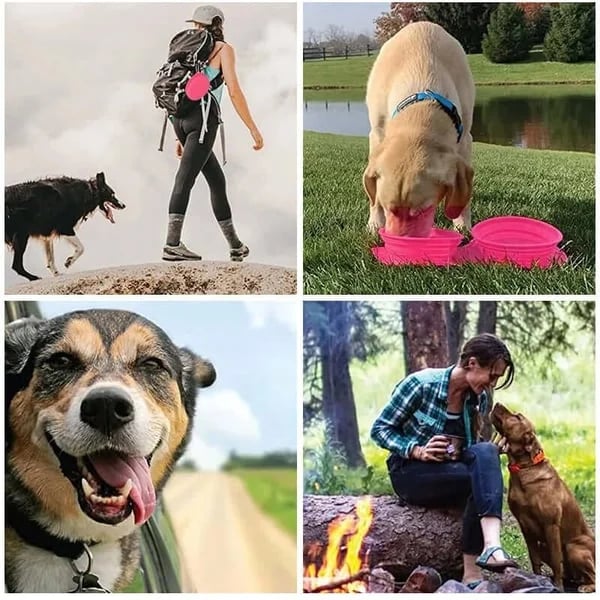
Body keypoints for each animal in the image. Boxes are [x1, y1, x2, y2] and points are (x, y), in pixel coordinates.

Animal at [364, 23, 476, 239]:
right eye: (389, 208)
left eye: (422, 211)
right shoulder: (376, 135)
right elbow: (374, 197)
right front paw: (375, 222)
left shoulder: (465, 140)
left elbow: (463, 198)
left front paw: (462, 226)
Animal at [492, 400, 596, 592]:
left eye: (518, 417)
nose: (497, 402)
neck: (524, 468)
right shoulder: (525, 526)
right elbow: (534, 559)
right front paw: (536, 580)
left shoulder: (551, 525)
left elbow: (556, 561)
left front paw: (558, 588)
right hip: (543, 545)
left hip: (573, 547)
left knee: (591, 575)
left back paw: (584, 586)